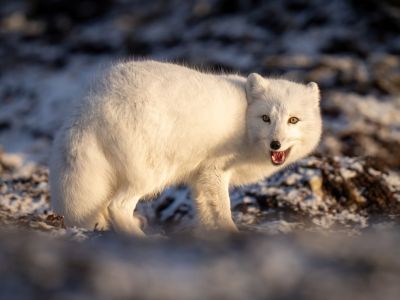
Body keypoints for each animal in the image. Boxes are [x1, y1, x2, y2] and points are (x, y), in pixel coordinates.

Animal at [49, 59, 322, 236]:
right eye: (266, 118)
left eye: (293, 120)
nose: (275, 143)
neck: (244, 122)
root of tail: (90, 103)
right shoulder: (214, 171)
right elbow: (224, 211)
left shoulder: (199, 178)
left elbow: (206, 213)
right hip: (152, 174)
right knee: (116, 207)